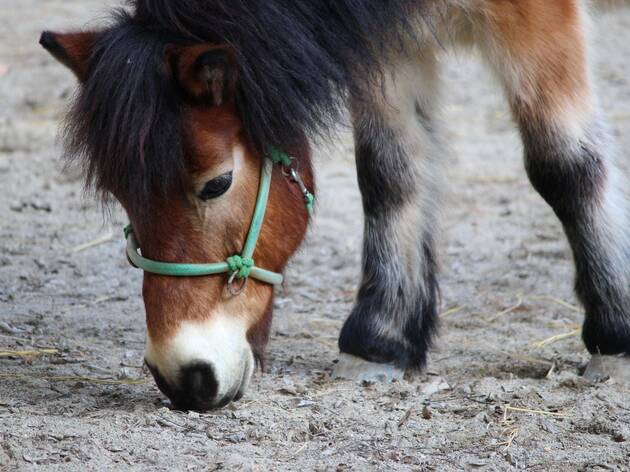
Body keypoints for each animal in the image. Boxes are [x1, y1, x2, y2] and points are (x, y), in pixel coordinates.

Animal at [42, 0, 628, 412]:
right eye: (122, 195)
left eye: (218, 183)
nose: (183, 377)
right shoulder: (388, 40)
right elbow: (390, 173)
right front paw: (381, 339)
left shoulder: (534, 17)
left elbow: (564, 165)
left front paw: (615, 333)